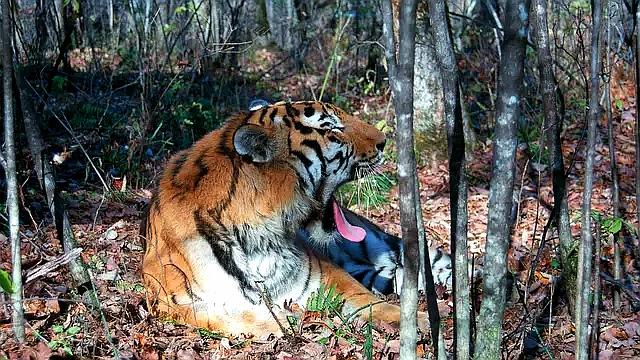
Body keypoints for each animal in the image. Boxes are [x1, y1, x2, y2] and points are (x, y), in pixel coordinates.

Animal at [142, 100, 428, 336]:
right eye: (331, 129)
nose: (384, 141)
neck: (258, 234)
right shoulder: (170, 298)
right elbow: (218, 315)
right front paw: (275, 322)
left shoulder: (325, 273)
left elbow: (368, 300)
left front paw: (417, 321)